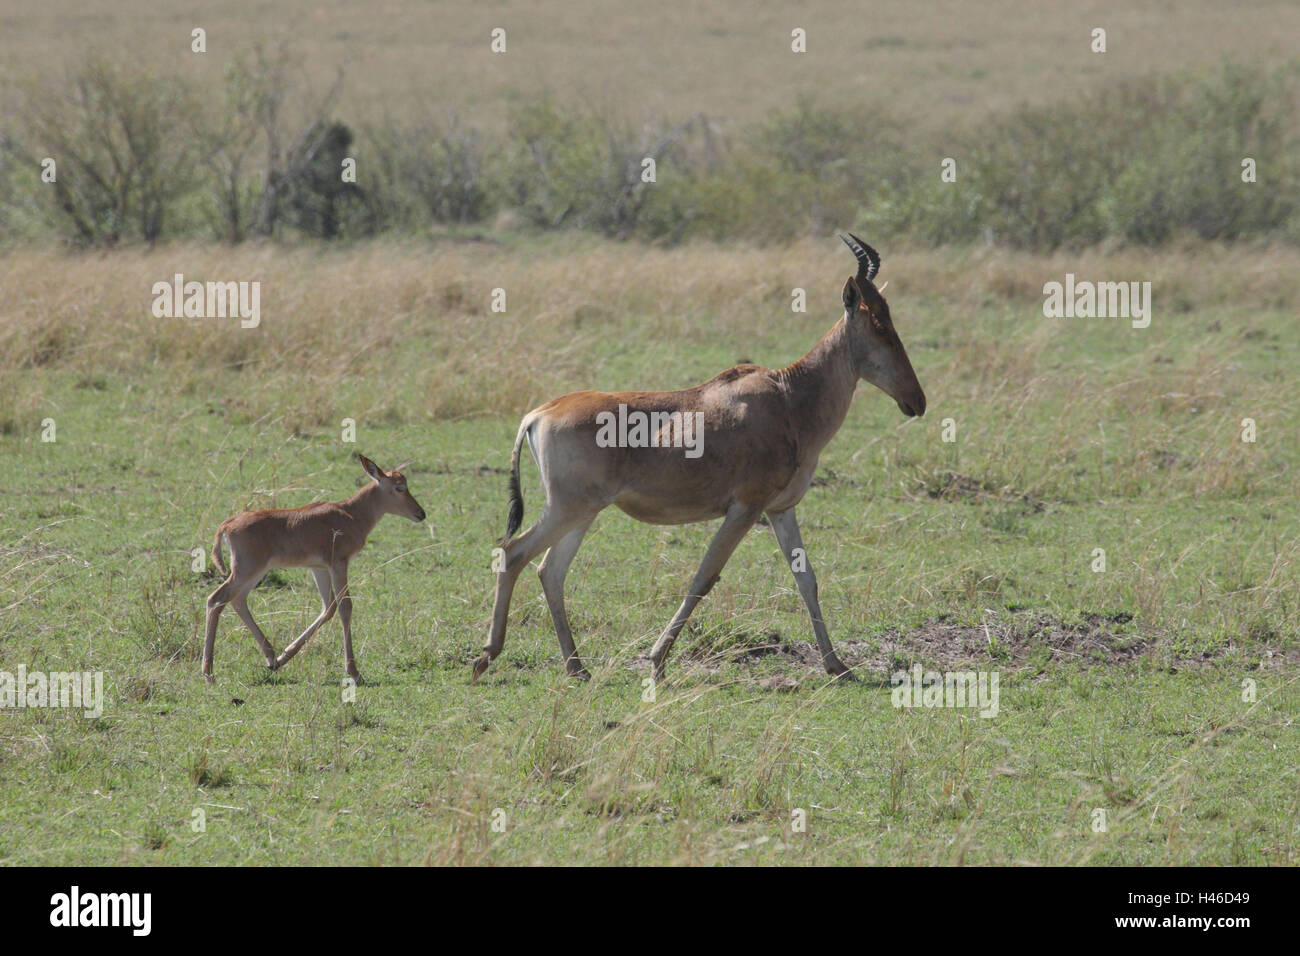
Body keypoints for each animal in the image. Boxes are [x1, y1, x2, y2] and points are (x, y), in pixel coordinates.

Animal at [204, 455, 426, 681]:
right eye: (400, 487)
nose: (421, 513)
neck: (349, 512)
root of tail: (227, 524)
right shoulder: (339, 563)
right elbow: (345, 607)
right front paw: (354, 672)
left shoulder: (319, 568)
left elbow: (329, 608)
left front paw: (285, 656)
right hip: (246, 570)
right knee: (216, 599)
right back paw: (208, 671)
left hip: (255, 572)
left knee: (238, 600)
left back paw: (271, 658)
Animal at [475, 235, 925, 686]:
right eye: (879, 325)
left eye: (890, 320)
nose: (916, 401)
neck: (788, 395)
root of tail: (539, 413)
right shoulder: (745, 508)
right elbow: (704, 577)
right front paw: (656, 660)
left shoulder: (781, 510)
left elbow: (807, 579)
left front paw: (838, 666)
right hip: (567, 509)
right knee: (513, 553)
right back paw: (487, 656)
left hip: (582, 512)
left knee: (549, 570)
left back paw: (577, 666)